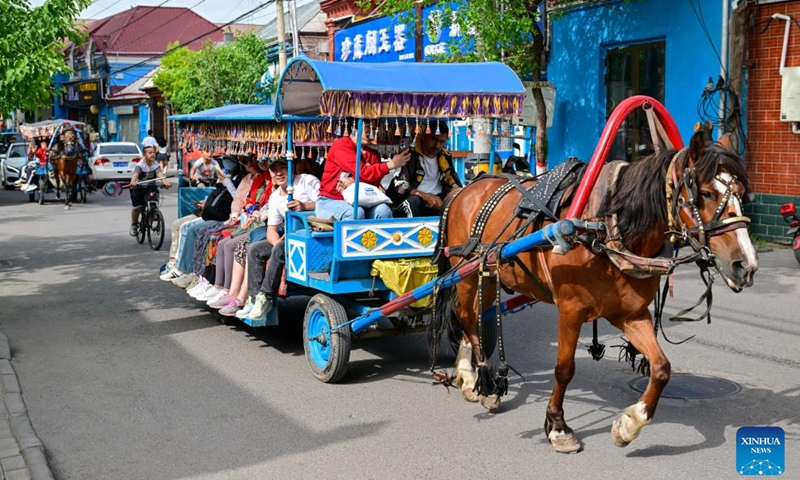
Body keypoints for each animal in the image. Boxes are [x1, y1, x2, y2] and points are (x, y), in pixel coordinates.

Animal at [432, 130, 756, 454]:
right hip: (465, 274)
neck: (605, 230)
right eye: (706, 193)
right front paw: (558, 427)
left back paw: (476, 378)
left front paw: (629, 424)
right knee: (466, 315)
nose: (747, 265)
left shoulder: (631, 314)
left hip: (487, 274)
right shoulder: (570, 310)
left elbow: (662, 367)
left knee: (477, 315)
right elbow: (564, 369)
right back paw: (478, 378)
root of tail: (464, 190)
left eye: (742, 192)